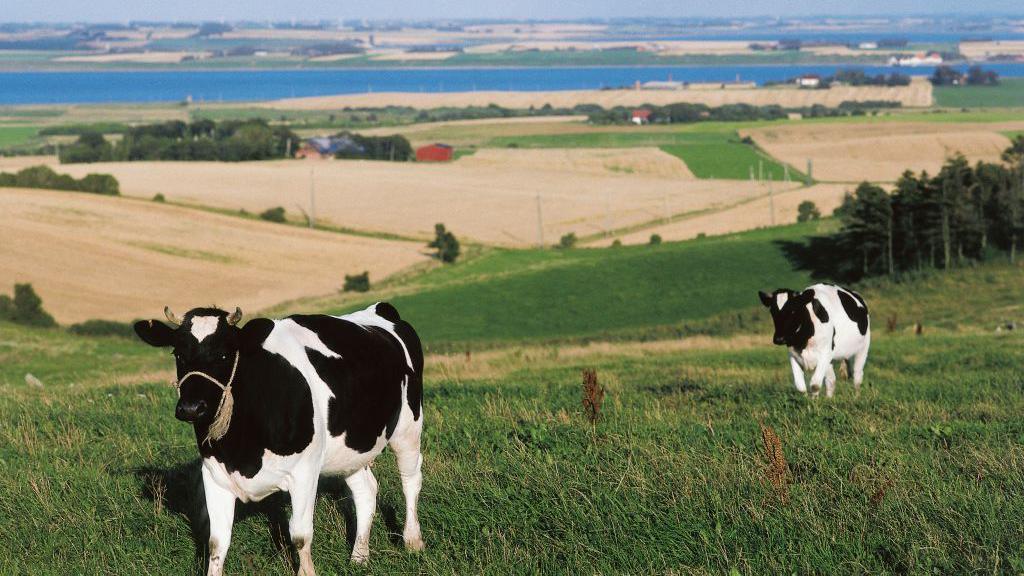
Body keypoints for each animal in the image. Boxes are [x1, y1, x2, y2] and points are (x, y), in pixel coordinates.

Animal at [135, 303, 423, 569]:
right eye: (178, 354)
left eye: (224, 354)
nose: (191, 408)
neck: (242, 449)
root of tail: (380, 309)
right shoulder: (214, 474)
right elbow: (217, 542)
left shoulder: (305, 472)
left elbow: (300, 536)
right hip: (352, 448)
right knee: (365, 490)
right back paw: (359, 557)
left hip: (408, 428)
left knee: (410, 479)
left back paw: (412, 541)